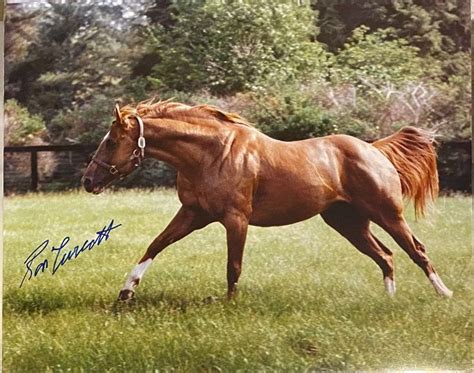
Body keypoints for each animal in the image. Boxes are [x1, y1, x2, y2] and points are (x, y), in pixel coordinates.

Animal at [80, 98, 452, 300]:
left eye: (111, 142)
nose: (87, 181)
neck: (212, 153)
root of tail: (374, 149)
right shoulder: (193, 214)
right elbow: (155, 245)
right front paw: (126, 291)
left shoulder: (236, 219)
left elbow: (233, 266)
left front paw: (230, 307)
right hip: (348, 222)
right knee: (386, 256)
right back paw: (390, 299)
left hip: (387, 214)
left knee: (416, 250)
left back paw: (444, 294)